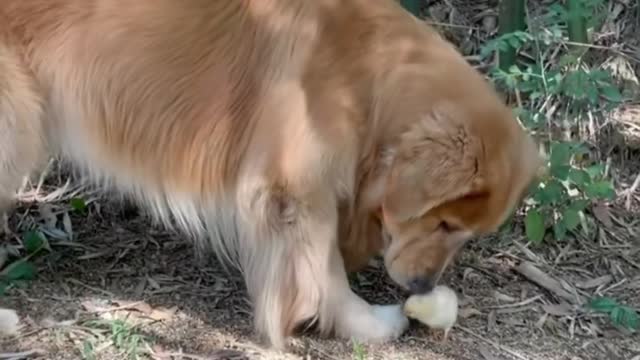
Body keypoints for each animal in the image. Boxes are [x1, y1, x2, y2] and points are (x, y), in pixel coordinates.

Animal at [0, 0, 540, 348]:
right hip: (14, 128)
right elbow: (323, 269)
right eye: (444, 223)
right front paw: (365, 323)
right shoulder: (294, 190)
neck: (366, 75)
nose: (423, 286)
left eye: (464, 233)